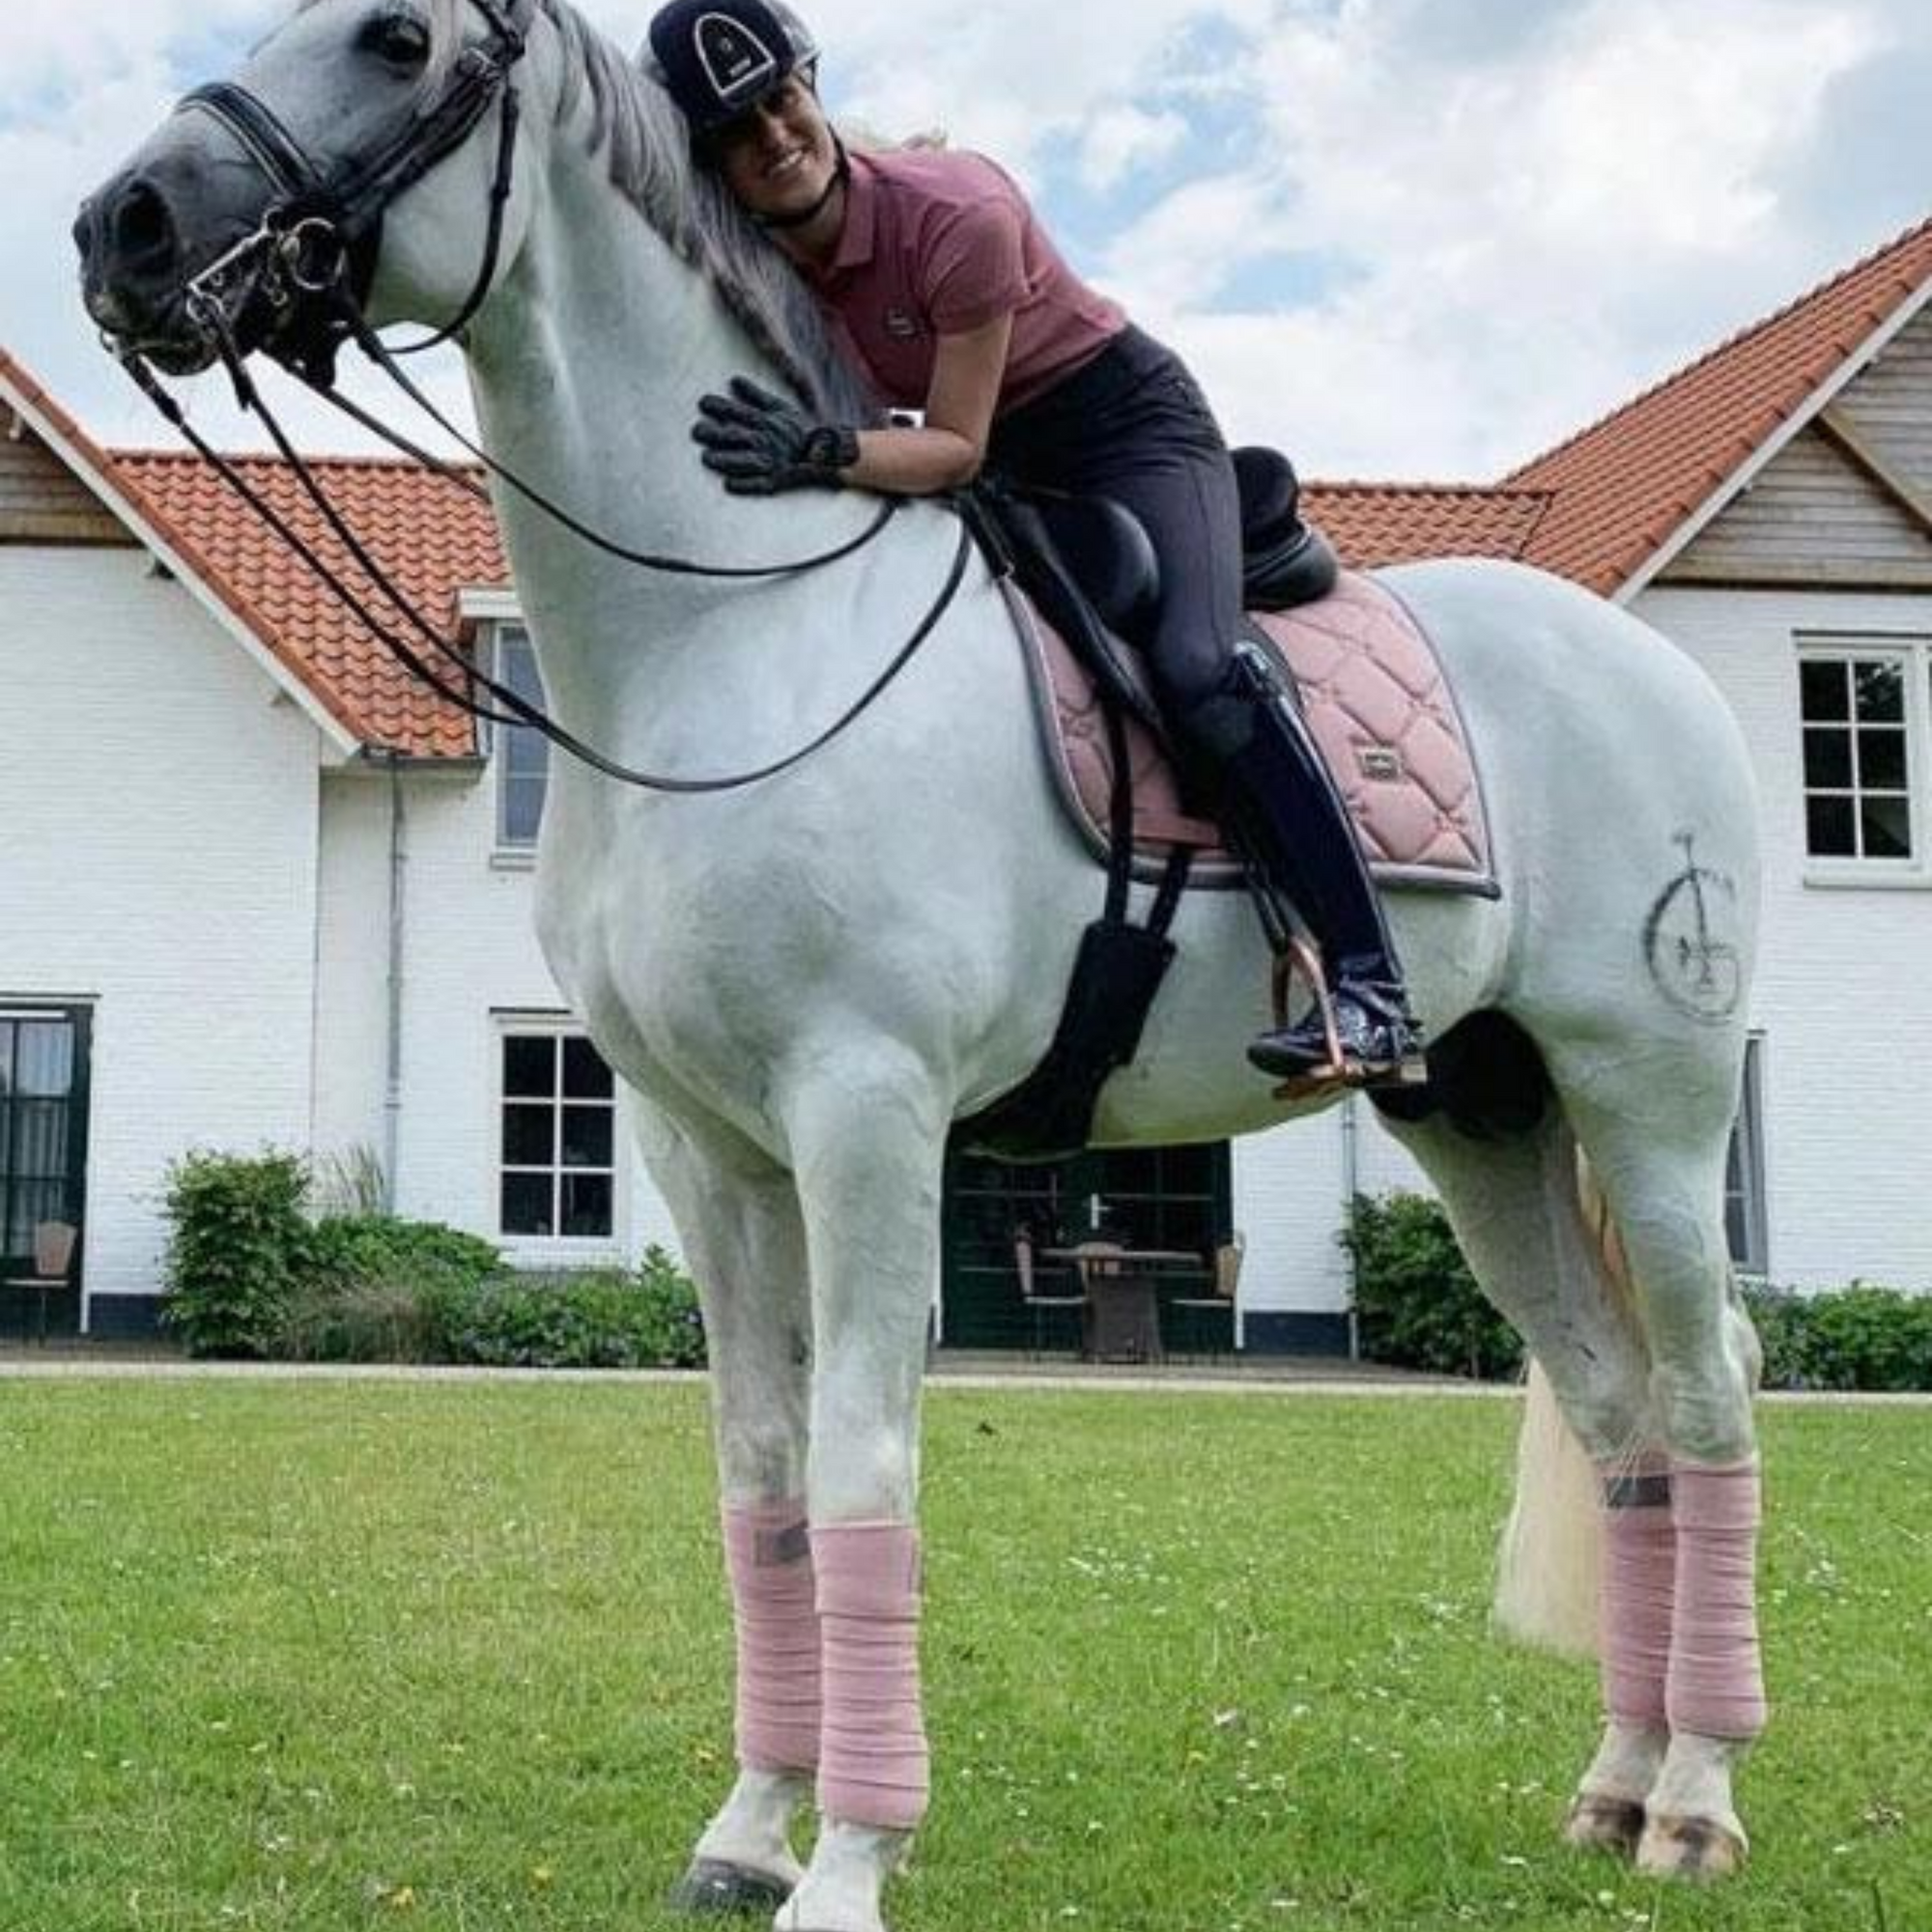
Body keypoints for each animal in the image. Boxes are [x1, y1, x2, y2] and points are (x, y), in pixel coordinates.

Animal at [75, 3, 1770, 1925]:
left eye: (396, 36)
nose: (124, 226)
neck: (741, 630)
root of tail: (1651, 669)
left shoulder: (865, 1115)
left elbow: (863, 1474)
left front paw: (849, 1861)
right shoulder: (703, 1150)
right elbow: (760, 1482)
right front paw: (749, 1831)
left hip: (1650, 1100)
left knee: (1711, 1398)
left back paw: (1699, 1799)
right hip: (1481, 1121)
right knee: (1621, 1415)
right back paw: (1617, 1789)